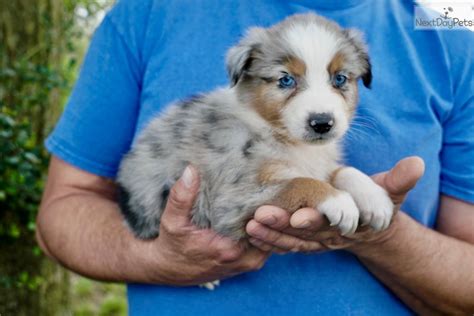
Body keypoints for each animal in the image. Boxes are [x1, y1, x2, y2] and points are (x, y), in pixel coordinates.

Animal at [117, 12, 392, 244]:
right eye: (286, 80)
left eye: (340, 78)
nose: (322, 123)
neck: (281, 136)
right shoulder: (232, 199)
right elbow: (299, 182)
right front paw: (339, 200)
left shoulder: (317, 164)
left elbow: (341, 171)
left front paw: (374, 197)